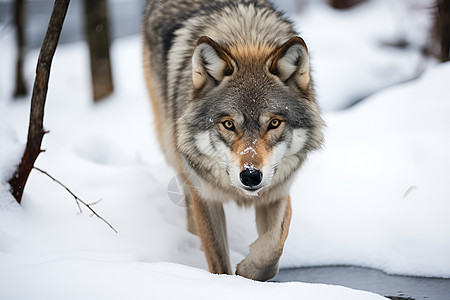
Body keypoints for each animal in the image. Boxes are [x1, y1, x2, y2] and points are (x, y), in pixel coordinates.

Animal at [143, 0, 324, 282]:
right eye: (228, 124)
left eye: (274, 123)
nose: (250, 176)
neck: (246, 37)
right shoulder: (205, 198)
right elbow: (218, 261)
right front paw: (229, 283)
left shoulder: (277, 191)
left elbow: (274, 245)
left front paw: (249, 271)